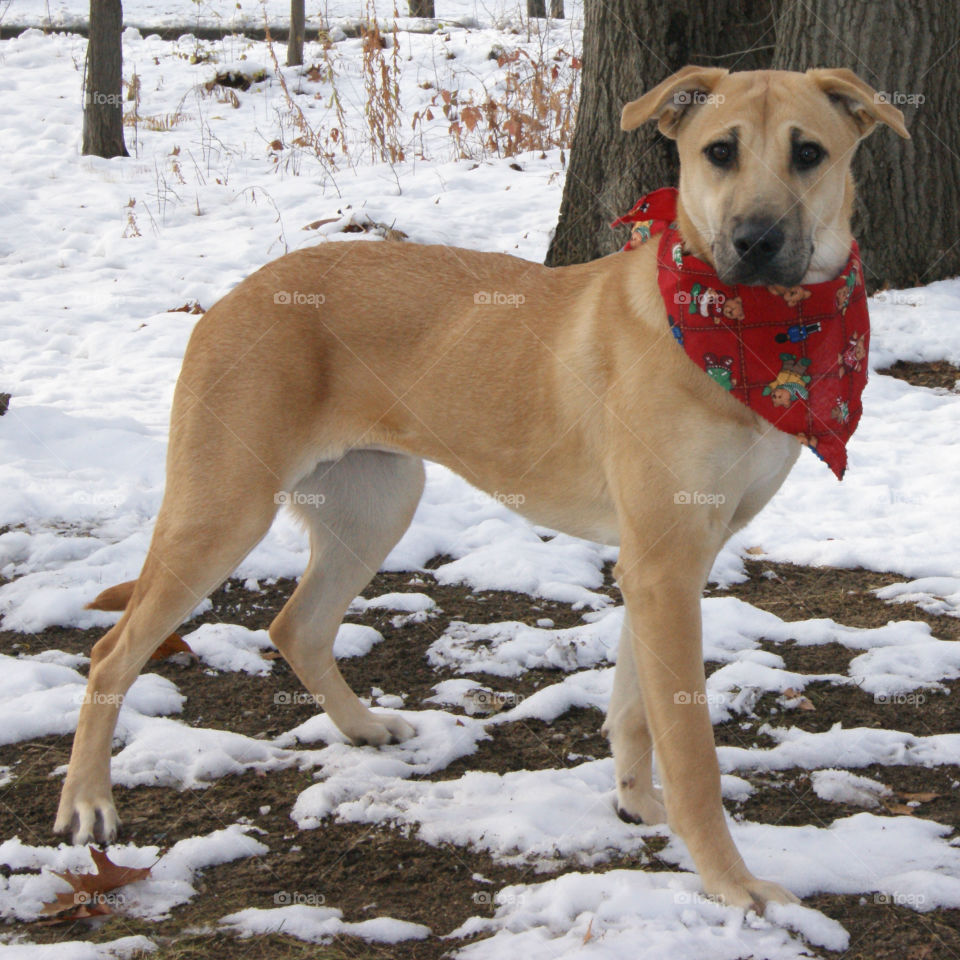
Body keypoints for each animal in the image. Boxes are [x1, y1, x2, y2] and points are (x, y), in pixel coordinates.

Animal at [54, 69, 908, 916]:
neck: (756, 332)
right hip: (224, 509)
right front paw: (731, 882)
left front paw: (640, 806)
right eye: (719, 151)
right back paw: (88, 803)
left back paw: (365, 728)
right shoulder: (663, 564)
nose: (756, 242)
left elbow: (635, 709)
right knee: (111, 653)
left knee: (297, 626)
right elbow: (692, 752)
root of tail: (230, 298)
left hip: (376, 502)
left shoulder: (669, 561)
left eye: (808, 152)